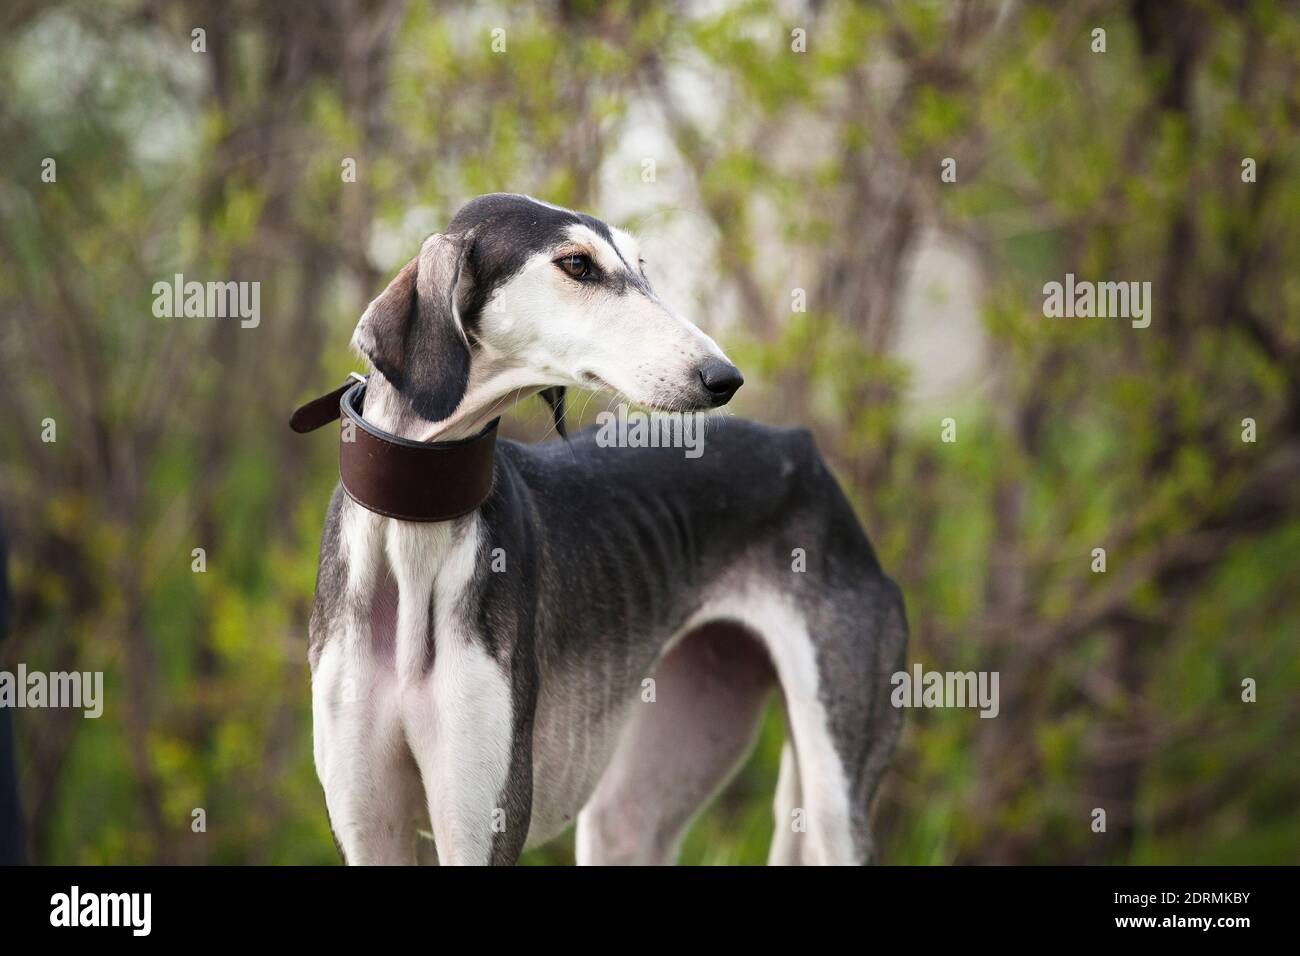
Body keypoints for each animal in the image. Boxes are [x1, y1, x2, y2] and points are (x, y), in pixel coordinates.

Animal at [308, 195, 909, 868]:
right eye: (577, 264)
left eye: (640, 264)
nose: (724, 377)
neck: (417, 524)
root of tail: (803, 451)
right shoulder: (368, 830)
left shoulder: (481, 826)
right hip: (636, 801)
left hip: (833, 793)